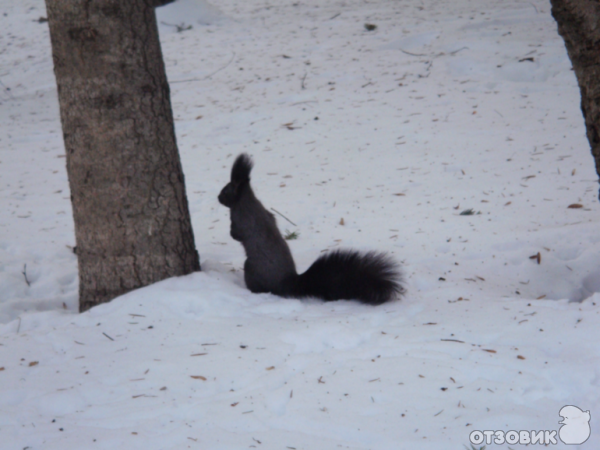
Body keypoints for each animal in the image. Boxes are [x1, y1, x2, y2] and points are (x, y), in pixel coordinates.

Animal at [216, 153, 404, 304]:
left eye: (225, 191)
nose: (217, 198)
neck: (245, 200)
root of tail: (289, 283)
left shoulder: (242, 220)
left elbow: (238, 234)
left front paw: (231, 233)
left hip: (251, 268)